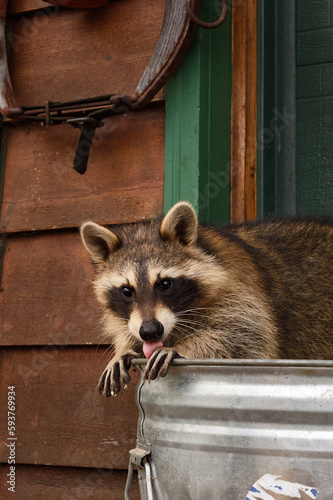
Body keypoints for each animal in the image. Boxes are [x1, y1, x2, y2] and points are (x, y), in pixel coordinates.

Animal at [80, 201, 332, 396]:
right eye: (126, 291)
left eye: (165, 284)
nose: (150, 332)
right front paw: (122, 350)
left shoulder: (242, 290)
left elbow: (247, 335)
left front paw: (182, 347)